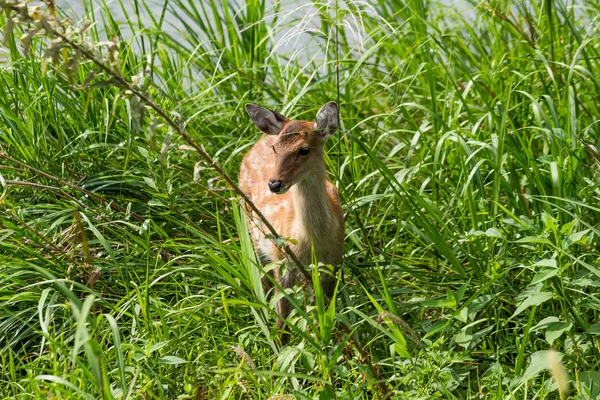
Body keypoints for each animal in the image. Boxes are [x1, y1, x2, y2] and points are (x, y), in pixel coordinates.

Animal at [238, 101, 344, 340]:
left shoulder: (332, 264)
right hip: (253, 231)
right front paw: (278, 347)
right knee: (263, 280)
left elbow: (325, 310)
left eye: (304, 150)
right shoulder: (283, 260)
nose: (274, 184)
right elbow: (283, 321)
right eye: (275, 149)